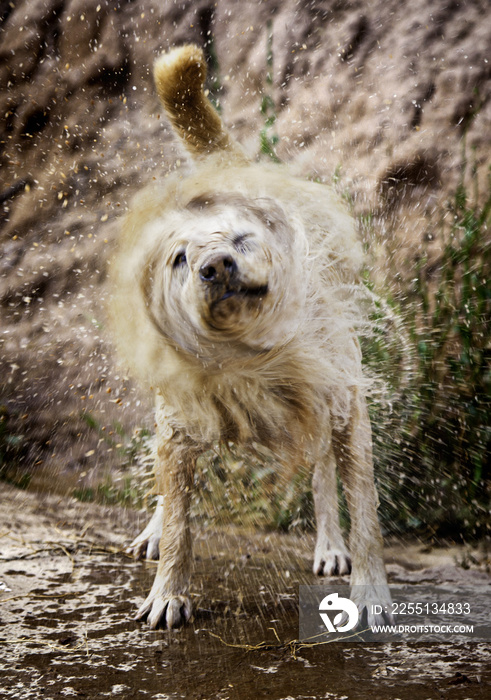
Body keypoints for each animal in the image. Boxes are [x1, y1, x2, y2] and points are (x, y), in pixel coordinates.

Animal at [110, 46, 392, 632]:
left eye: (242, 238)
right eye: (178, 258)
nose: (216, 265)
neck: (249, 356)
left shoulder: (344, 404)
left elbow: (364, 510)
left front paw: (372, 590)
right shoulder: (181, 421)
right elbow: (180, 518)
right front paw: (169, 590)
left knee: (324, 475)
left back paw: (330, 545)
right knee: (170, 484)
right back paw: (154, 528)